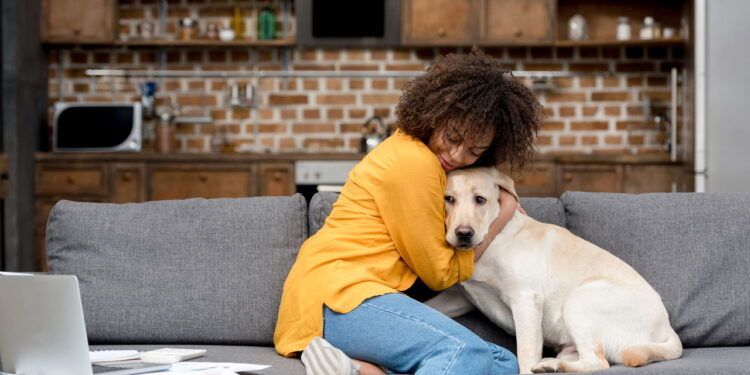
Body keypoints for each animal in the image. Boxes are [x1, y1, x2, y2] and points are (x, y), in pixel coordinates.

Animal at [426, 168, 684, 375]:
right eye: (449, 199)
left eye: (480, 200)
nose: (464, 233)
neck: (493, 237)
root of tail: (667, 327)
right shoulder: (459, 297)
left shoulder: (526, 300)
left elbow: (525, 354)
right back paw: (552, 364)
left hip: (579, 300)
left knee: (597, 362)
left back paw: (552, 365)